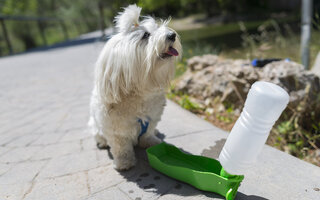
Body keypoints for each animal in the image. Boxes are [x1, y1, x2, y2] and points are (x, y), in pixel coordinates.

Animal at [89, 4, 181, 170]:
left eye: (157, 27)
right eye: (145, 35)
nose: (172, 35)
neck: (139, 92)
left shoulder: (152, 117)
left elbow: (148, 132)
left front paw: (150, 141)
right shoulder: (116, 131)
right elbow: (121, 147)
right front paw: (124, 162)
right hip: (95, 125)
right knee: (99, 135)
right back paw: (102, 142)